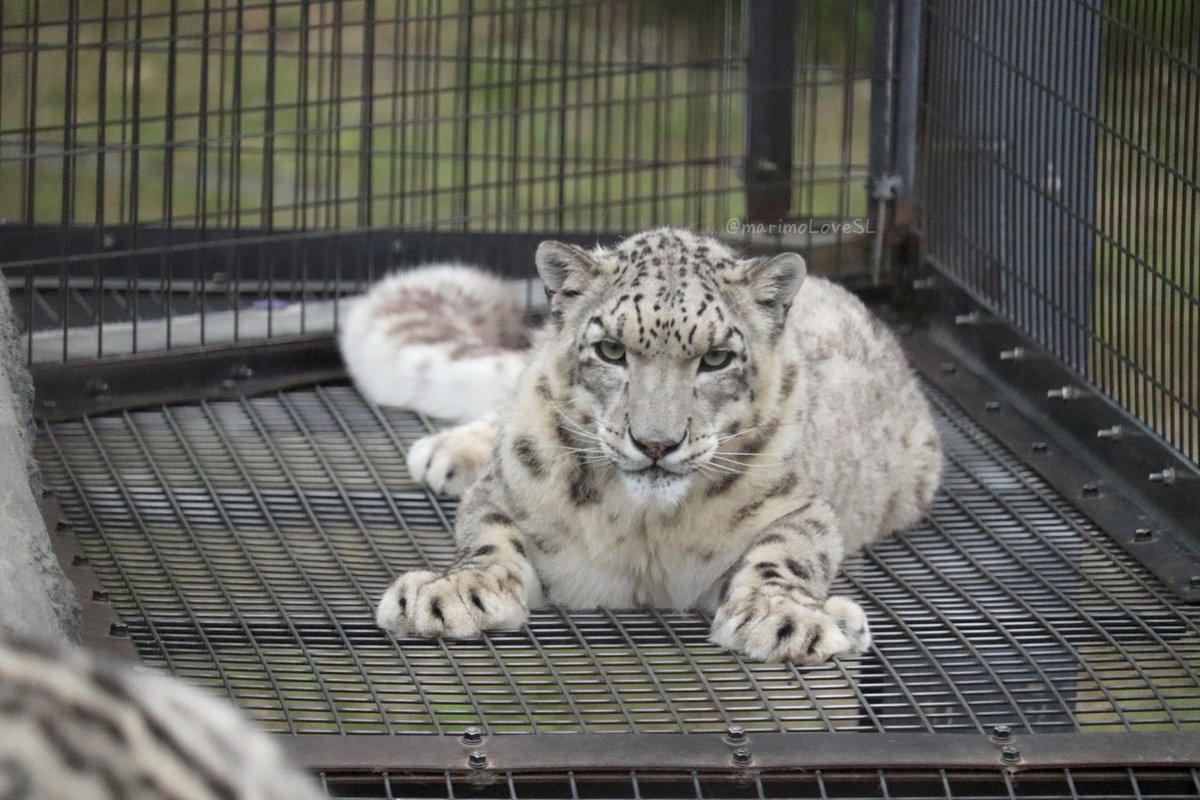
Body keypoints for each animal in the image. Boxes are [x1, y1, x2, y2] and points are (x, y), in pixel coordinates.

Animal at [350, 227, 945, 666]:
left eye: (716, 358)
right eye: (611, 350)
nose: (656, 442)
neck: (644, 528)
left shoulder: (800, 506)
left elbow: (786, 553)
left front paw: (785, 619)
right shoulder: (506, 489)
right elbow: (488, 540)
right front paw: (450, 595)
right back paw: (448, 452)